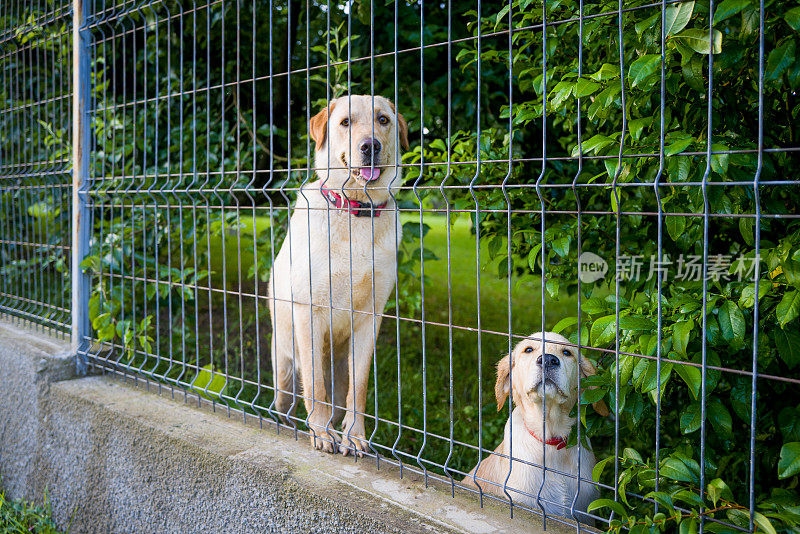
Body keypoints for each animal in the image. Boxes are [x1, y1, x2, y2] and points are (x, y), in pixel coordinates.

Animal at [268, 93, 410, 456]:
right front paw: (320, 432)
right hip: (284, 370)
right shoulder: (309, 313)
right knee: (288, 402)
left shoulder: (370, 318)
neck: (355, 210)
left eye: (383, 120)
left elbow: (357, 389)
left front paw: (355, 435)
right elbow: (316, 387)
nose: (370, 145)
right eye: (346, 122)